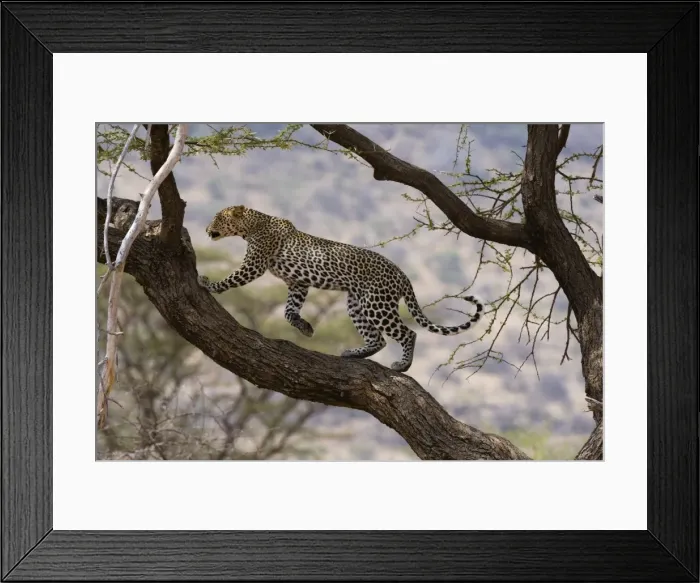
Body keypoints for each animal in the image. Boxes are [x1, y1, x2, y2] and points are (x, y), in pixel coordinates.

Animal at [197, 205, 484, 373]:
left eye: (217, 217)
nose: (206, 228)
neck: (253, 225)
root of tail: (401, 274)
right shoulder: (298, 284)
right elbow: (289, 311)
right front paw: (305, 328)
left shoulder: (255, 265)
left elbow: (232, 279)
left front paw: (208, 283)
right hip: (357, 303)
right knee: (378, 339)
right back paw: (353, 353)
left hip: (377, 303)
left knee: (407, 333)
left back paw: (402, 366)